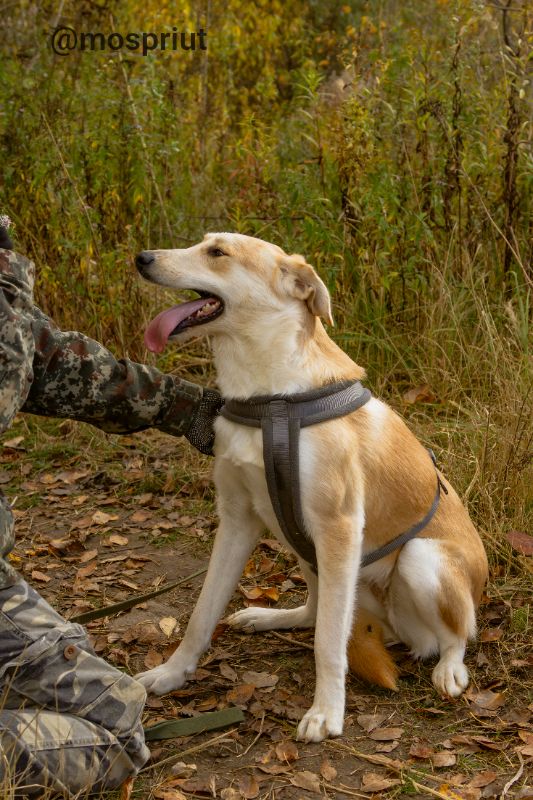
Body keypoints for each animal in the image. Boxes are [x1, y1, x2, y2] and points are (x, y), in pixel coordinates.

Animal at [134, 233, 486, 744]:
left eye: (217, 252)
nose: (141, 258)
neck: (271, 400)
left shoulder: (339, 528)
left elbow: (328, 643)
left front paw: (327, 711)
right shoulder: (237, 519)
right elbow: (202, 615)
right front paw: (171, 673)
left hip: (420, 559)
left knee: (457, 633)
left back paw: (449, 667)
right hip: (306, 548)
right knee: (317, 610)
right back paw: (270, 617)